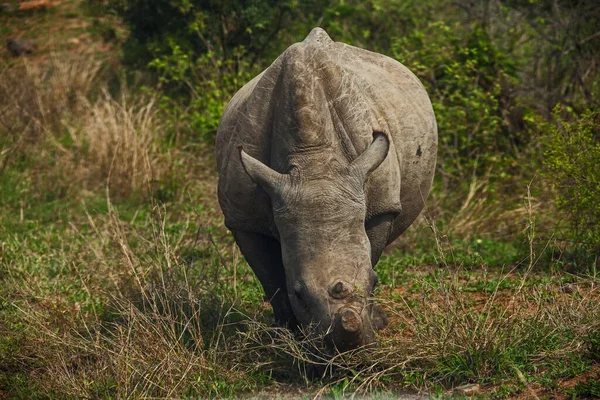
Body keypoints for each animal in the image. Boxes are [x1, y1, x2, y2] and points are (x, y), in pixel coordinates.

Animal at [216, 27, 436, 350]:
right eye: (300, 295)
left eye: (376, 282)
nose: (347, 346)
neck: (314, 164)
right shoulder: (242, 217)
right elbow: (271, 279)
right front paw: (285, 334)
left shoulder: (380, 202)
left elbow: (372, 251)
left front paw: (372, 323)